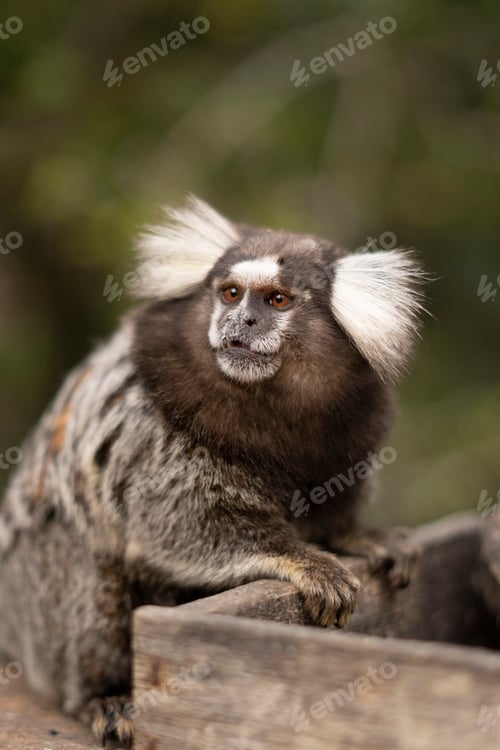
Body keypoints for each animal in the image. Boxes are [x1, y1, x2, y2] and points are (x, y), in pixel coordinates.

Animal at [0, 196, 426, 746]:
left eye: (277, 300)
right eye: (231, 293)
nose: (241, 322)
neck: (270, 403)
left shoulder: (351, 432)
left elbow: (336, 500)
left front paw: (355, 537)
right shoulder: (152, 423)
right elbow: (177, 523)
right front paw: (307, 560)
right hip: (34, 599)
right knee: (88, 558)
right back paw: (105, 696)